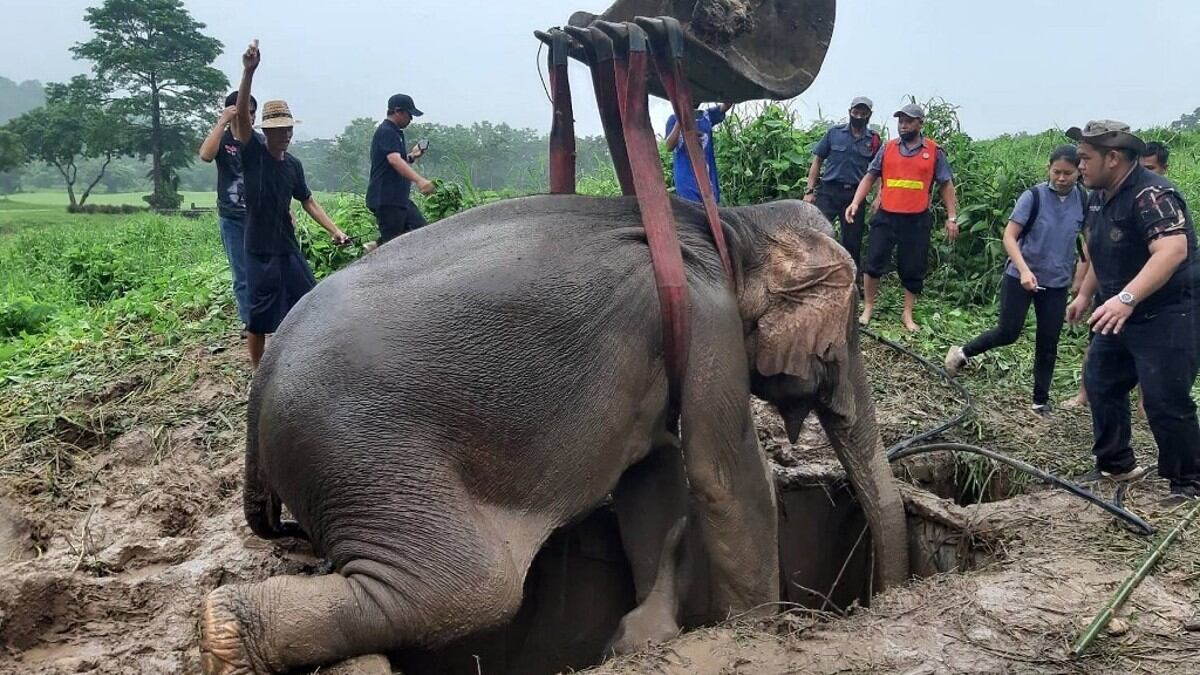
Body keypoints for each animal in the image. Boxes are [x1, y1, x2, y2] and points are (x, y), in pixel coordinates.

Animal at [199, 192, 907, 667]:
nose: (886, 598)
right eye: (844, 339)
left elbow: (654, 469)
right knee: (471, 588)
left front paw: (648, 633)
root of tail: (258, 390)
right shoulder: (709, 316)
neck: (731, 225)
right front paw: (757, 631)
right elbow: (722, 476)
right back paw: (222, 635)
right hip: (361, 454)